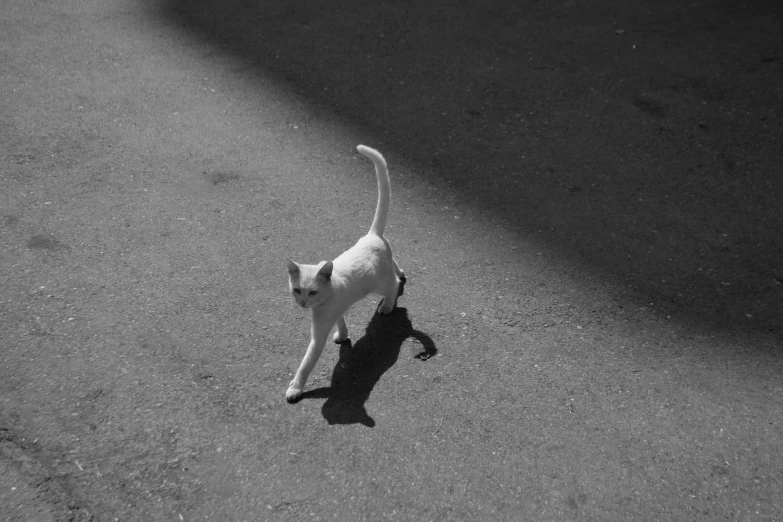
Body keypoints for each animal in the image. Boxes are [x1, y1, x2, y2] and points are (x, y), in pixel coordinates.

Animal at [284, 144, 408, 400]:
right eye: (297, 290)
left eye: (312, 292)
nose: (302, 303)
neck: (327, 297)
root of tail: (372, 235)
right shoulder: (337, 310)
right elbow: (341, 322)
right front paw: (342, 335)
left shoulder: (318, 334)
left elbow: (306, 362)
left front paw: (295, 388)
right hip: (386, 259)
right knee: (395, 263)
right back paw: (400, 271)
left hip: (379, 284)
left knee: (392, 285)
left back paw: (388, 305)